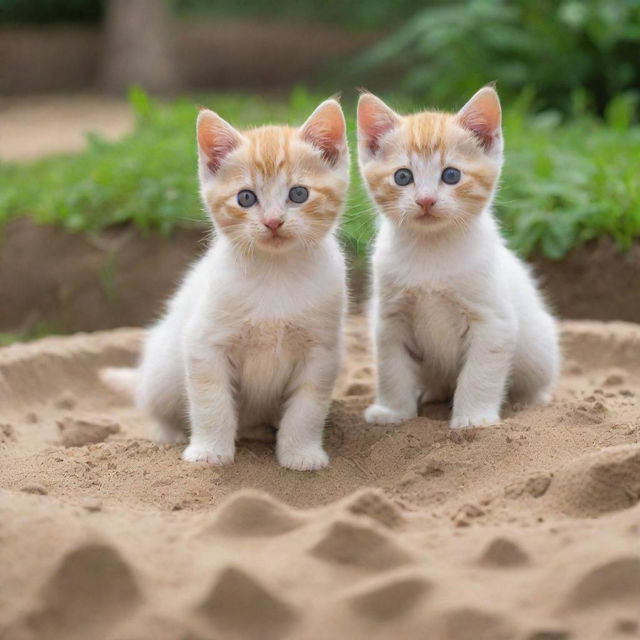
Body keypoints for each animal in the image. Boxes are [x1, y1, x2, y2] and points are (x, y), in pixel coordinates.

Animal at [102, 100, 348, 470]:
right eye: (246, 198)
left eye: (298, 194)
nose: (273, 222)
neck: (274, 272)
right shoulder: (204, 343)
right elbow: (211, 402)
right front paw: (209, 451)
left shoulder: (321, 351)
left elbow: (307, 408)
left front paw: (300, 452)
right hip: (162, 371)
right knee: (157, 405)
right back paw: (171, 435)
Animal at [358, 84, 556, 424]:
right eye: (402, 177)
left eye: (451, 175)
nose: (426, 200)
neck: (431, 251)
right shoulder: (389, 320)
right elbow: (392, 369)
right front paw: (393, 412)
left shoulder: (493, 321)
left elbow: (479, 374)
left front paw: (473, 418)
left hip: (539, 348)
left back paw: (533, 401)